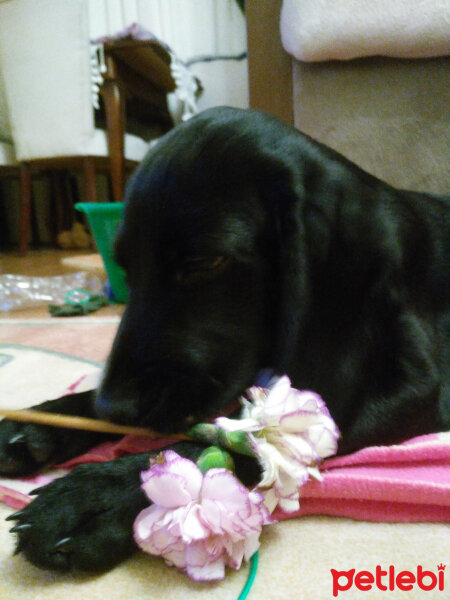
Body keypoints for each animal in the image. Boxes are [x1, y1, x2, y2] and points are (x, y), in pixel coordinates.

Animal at [1, 106, 448, 572]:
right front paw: (44, 421)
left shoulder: (407, 388)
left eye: (204, 262)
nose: (113, 408)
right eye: (125, 267)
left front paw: (98, 497)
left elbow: (258, 440)